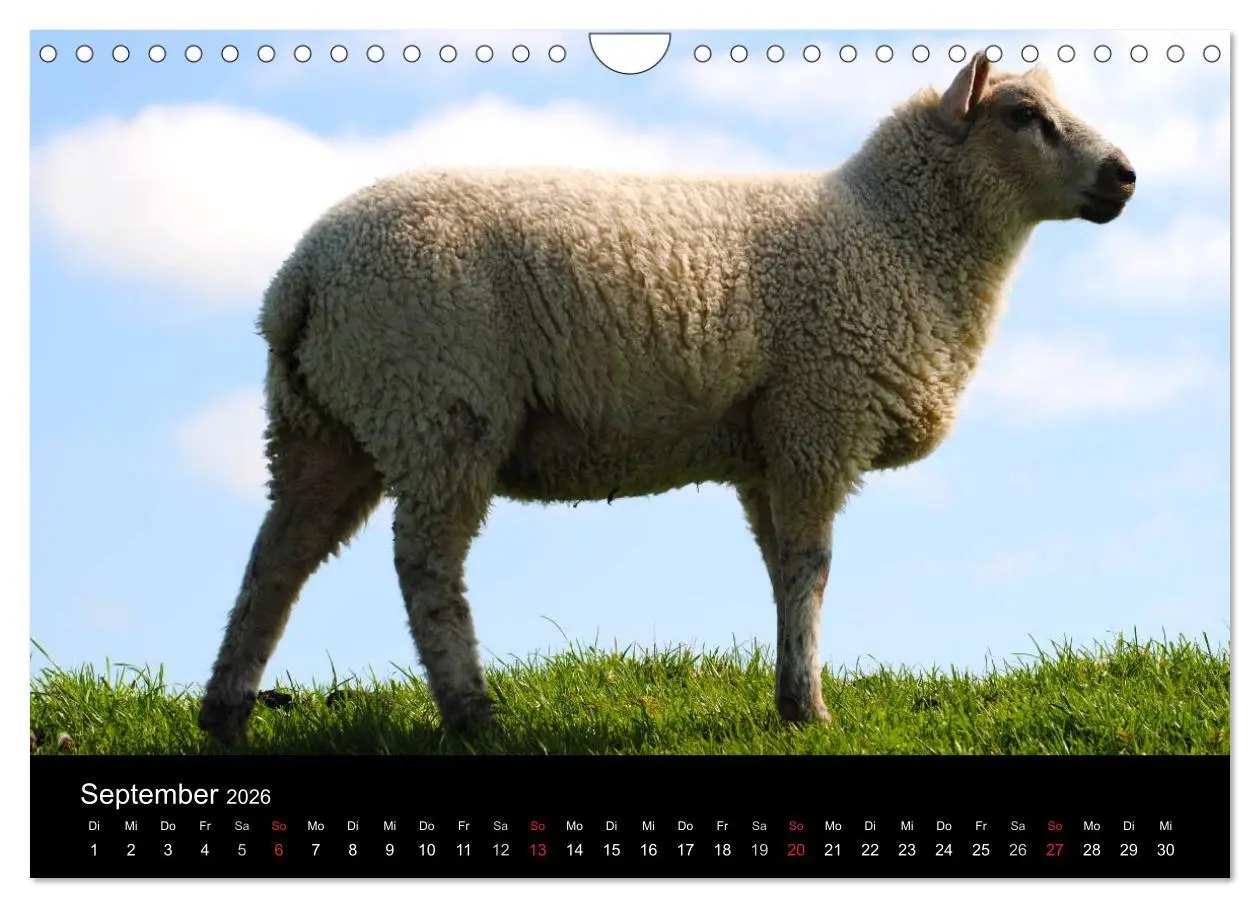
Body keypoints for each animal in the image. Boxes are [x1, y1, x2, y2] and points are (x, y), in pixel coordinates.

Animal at [197, 51, 1135, 745]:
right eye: (1022, 115)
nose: (1125, 175)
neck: (896, 235)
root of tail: (301, 278)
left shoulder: (768, 445)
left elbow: (781, 571)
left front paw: (788, 698)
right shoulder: (818, 418)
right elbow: (812, 568)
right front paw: (811, 710)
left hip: (327, 426)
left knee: (277, 560)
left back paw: (226, 714)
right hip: (439, 405)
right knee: (425, 566)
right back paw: (473, 716)